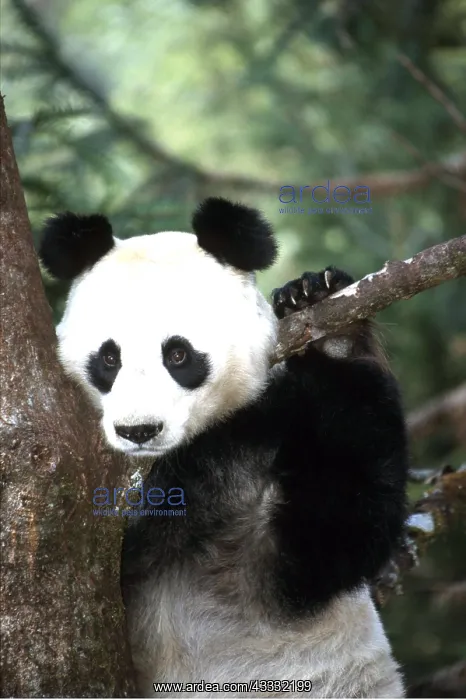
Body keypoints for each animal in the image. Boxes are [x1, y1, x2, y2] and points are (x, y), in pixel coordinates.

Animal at [39, 197, 408, 699]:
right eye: (109, 358)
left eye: (178, 355)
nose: (139, 431)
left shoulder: (268, 440)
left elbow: (335, 534)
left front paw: (324, 316)